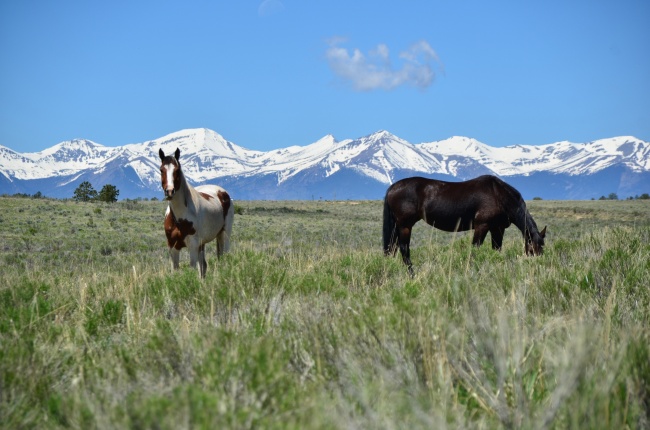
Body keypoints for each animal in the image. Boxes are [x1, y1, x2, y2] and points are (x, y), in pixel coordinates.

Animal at [159, 148, 234, 278]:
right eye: (161, 169)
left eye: (177, 170)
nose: (169, 191)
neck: (179, 218)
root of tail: (223, 193)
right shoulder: (173, 247)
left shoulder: (193, 246)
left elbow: (192, 270)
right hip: (202, 244)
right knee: (203, 266)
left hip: (224, 234)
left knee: (224, 257)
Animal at [383, 175, 546, 276]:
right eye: (532, 250)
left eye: (542, 250)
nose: (537, 269)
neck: (498, 194)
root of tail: (392, 187)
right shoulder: (482, 226)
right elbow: (474, 250)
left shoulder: (497, 228)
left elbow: (496, 250)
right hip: (405, 226)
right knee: (404, 250)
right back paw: (413, 275)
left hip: (398, 227)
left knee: (392, 249)